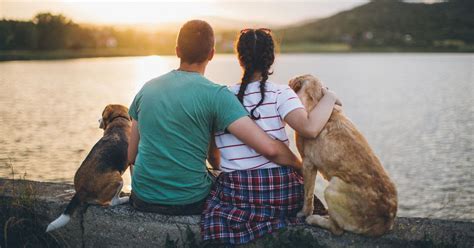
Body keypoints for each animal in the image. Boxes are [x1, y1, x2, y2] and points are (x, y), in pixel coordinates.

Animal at [45, 103, 131, 232]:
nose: (98, 120)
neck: (119, 119)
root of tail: (81, 191)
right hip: (117, 178)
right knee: (111, 202)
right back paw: (125, 199)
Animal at [288, 75, 396, 236]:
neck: (316, 102)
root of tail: (385, 222)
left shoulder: (307, 163)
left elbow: (308, 194)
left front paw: (304, 213)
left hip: (331, 188)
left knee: (337, 229)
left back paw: (315, 219)